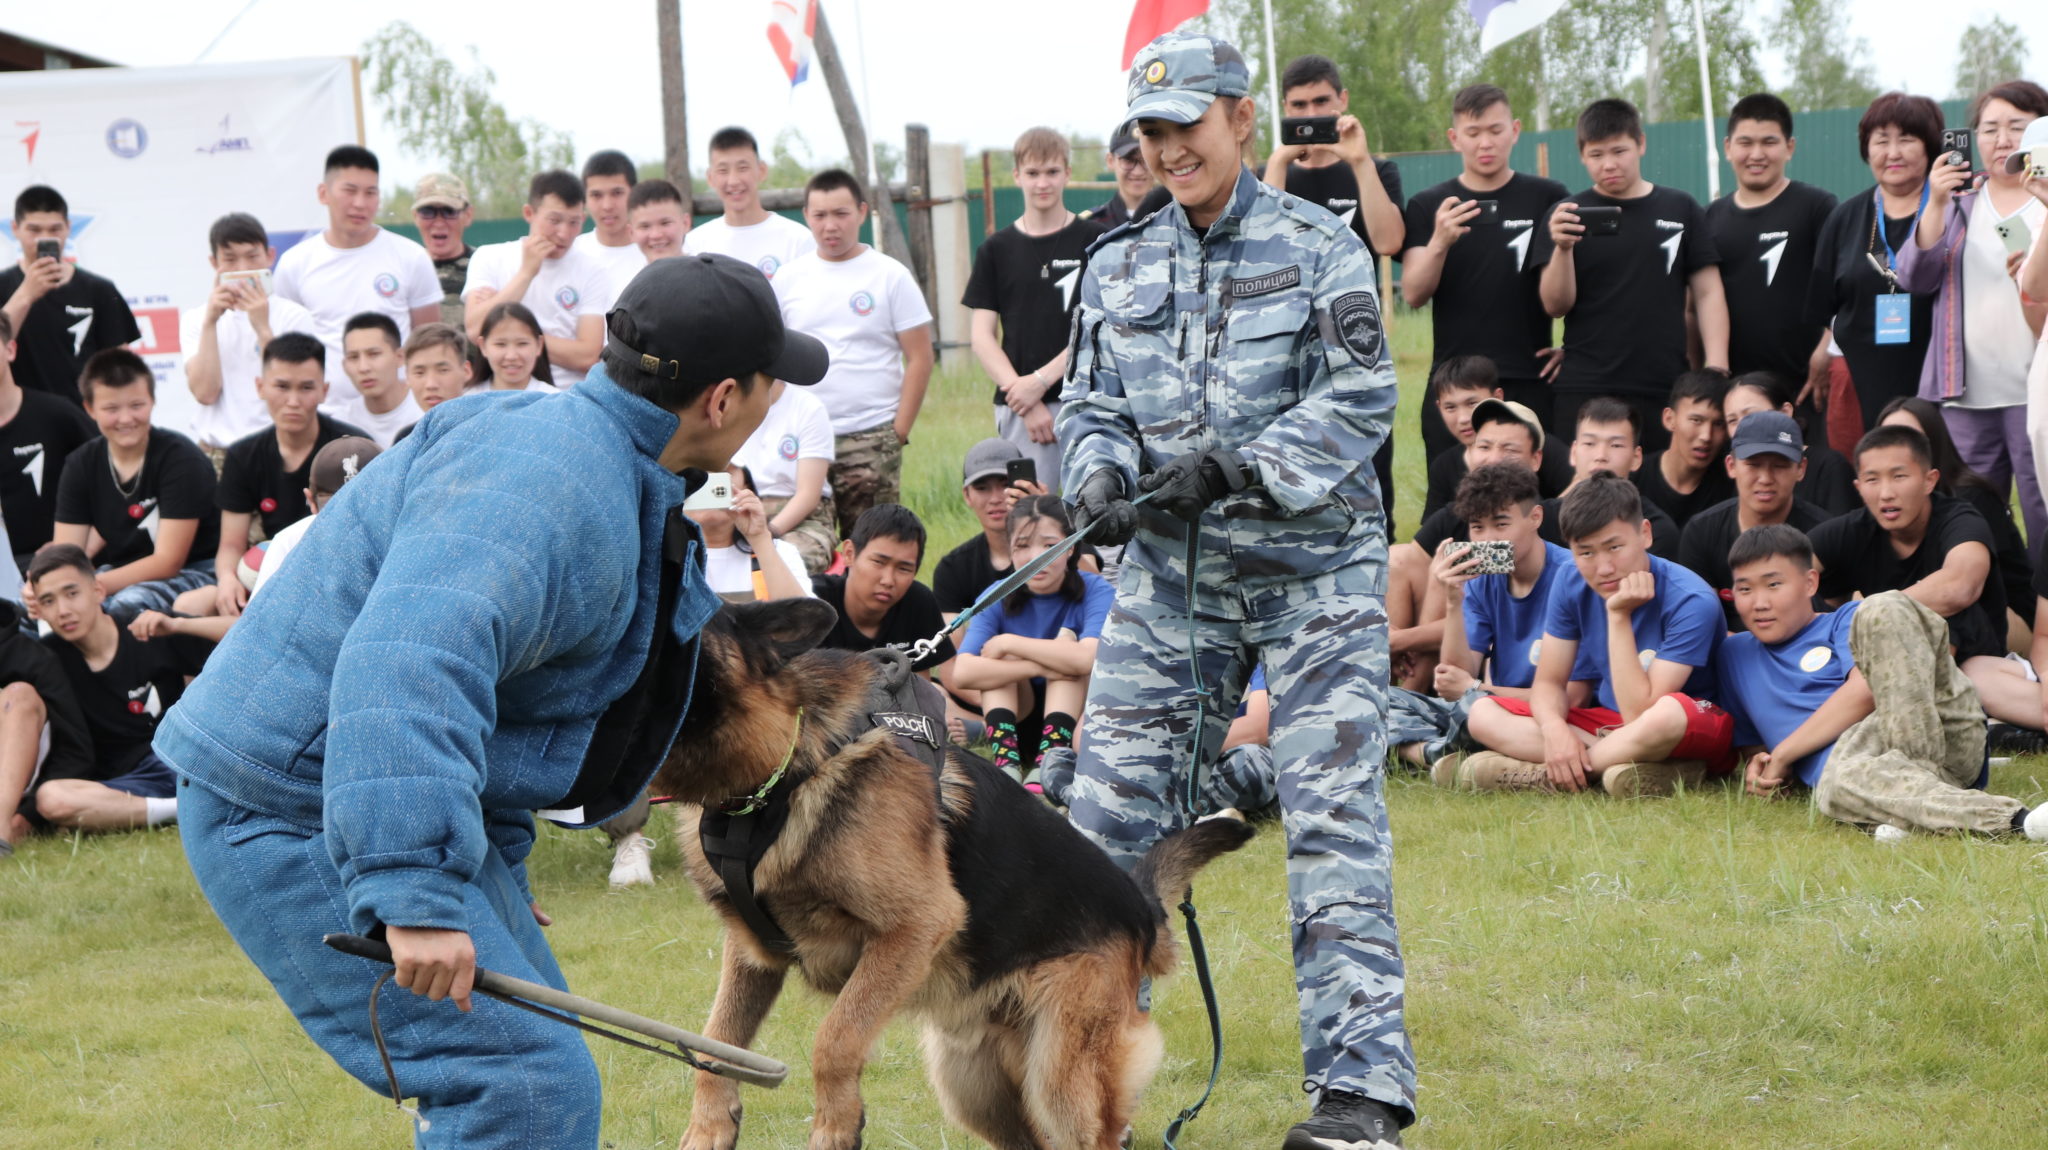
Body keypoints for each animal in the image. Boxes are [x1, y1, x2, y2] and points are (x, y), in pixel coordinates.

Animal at [655, 601, 1253, 1145]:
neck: (781, 768)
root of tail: (1142, 913)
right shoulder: (752, 954)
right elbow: (714, 1044)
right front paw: (710, 1128)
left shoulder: (914, 927)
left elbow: (835, 1040)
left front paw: (836, 1125)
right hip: (974, 1087)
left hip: (1059, 1083)